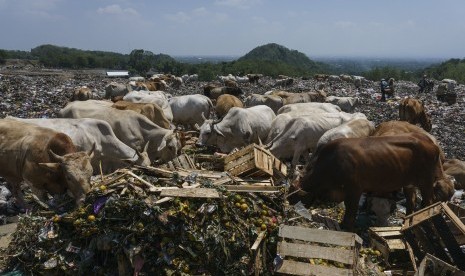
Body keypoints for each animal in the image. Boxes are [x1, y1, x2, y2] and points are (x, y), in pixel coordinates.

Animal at [292, 133, 452, 232]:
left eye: (294, 194)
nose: (288, 204)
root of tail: (430, 142)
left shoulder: (354, 189)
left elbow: (351, 209)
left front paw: (346, 226)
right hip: (409, 183)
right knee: (411, 201)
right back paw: (407, 221)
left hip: (426, 182)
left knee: (429, 202)